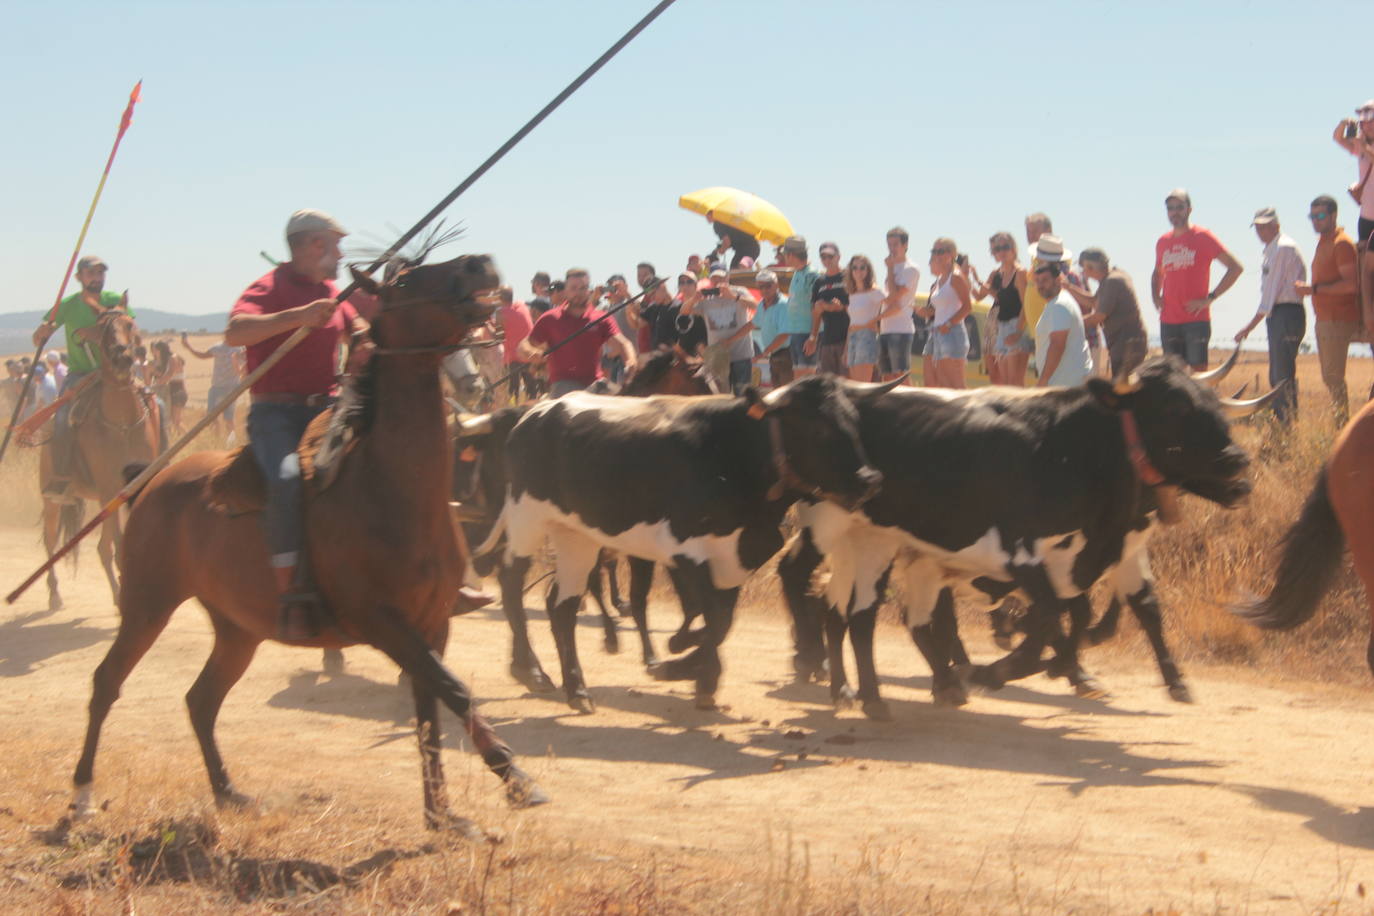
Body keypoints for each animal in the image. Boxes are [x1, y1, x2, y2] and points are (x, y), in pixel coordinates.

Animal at [39, 306, 158, 609]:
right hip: (53, 499)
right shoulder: (109, 488)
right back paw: (55, 595)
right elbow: (117, 544)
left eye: (129, 324)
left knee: (102, 547)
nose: (122, 357)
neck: (123, 423)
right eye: (102, 329)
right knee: (50, 542)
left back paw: (116, 594)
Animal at [489, 376, 895, 714]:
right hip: (527, 519)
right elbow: (712, 618)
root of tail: (535, 412)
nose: (871, 479)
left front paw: (694, 669)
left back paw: (576, 688)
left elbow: (721, 621)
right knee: (511, 584)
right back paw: (530, 670)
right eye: (815, 425)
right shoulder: (686, 551)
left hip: (576, 536)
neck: (733, 457)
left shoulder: (737, 558)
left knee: (562, 606)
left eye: (853, 421)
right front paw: (684, 665)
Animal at [780, 357, 1269, 725]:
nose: (1239, 465)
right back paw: (830, 672)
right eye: (1173, 408)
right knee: (813, 585)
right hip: (833, 530)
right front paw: (1003, 670)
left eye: (1211, 403)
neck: (1063, 449)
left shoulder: (1111, 554)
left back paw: (883, 690)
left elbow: (1127, 608)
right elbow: (1054, 617)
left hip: (881, 546)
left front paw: (1167, 681)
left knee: (860, 612)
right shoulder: (1021, 554)